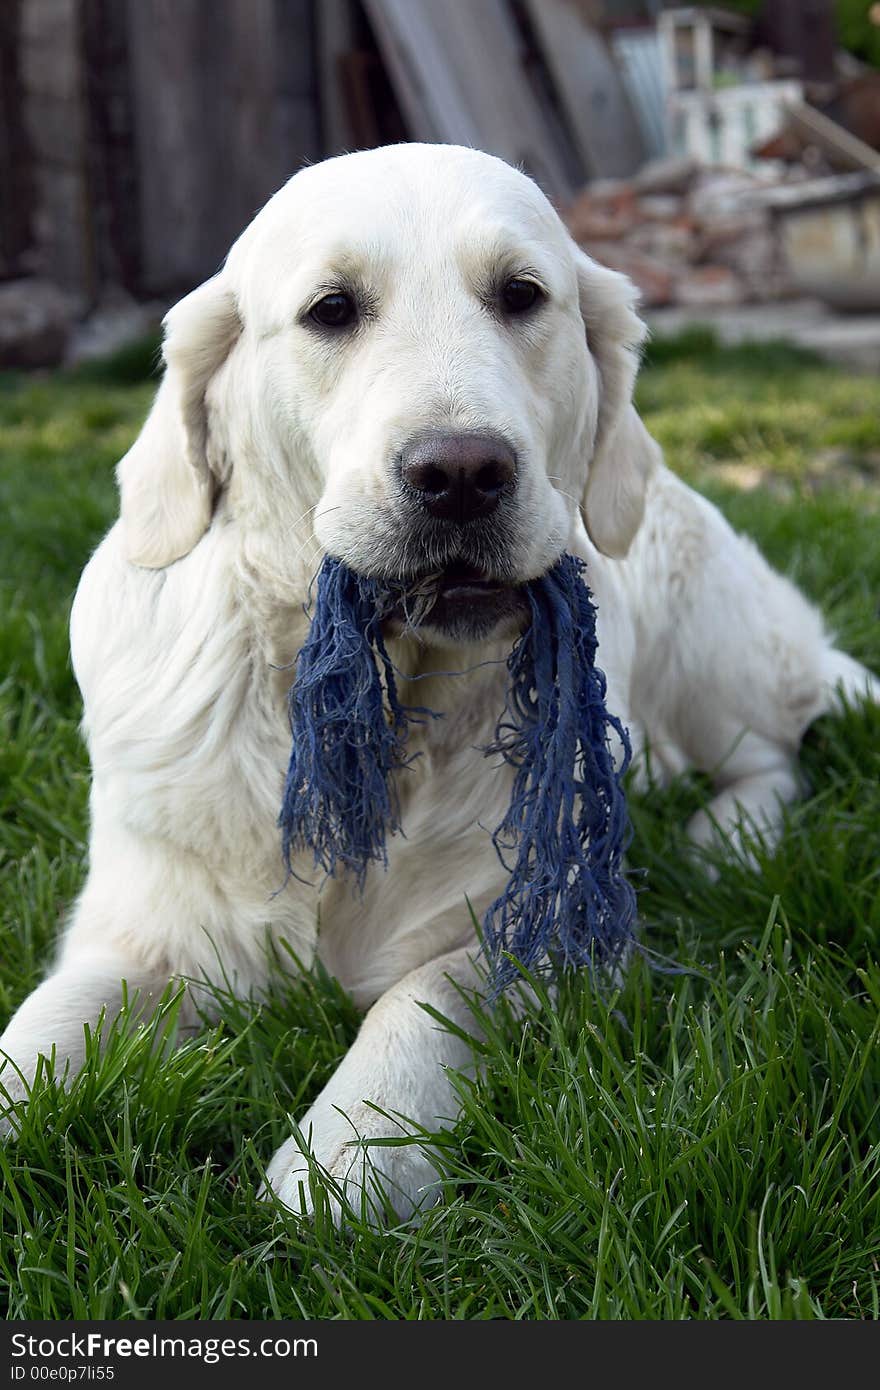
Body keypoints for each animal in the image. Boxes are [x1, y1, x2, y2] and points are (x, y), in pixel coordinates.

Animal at [3, 146, 873, 1223]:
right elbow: (40, 1034)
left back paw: (727, 838)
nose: (461, 473)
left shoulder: (535, 919)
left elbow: (422, 998)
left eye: (521, 295)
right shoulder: (133, 932)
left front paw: (347, 1147)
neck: (377, 710)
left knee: (773, 751)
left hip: (705, 626)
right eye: (332, 309)